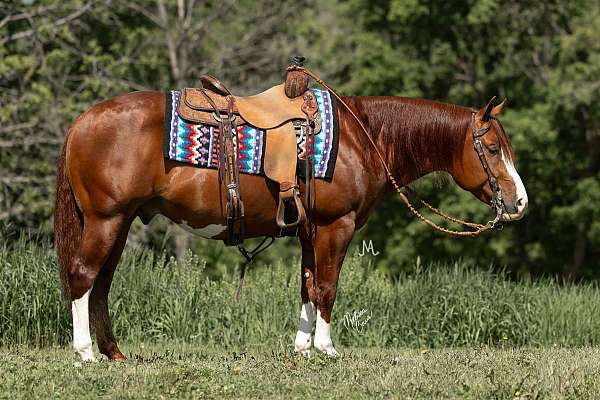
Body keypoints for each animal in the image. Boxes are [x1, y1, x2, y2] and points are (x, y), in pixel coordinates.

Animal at [54, 91, 528, 362]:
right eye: (491, 148)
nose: (519, 202)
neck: (362, 136)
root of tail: (81, 122)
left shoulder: (308, 231)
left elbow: (307, 285)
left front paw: (302, 347)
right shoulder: (336, 227)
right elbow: (328, 287)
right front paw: (326, 348)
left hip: (119, 224)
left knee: (101, 285)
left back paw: (114, 353)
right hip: (106, 221)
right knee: (82, 276)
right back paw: (85, 353)